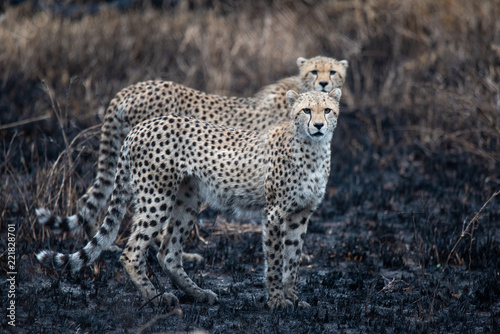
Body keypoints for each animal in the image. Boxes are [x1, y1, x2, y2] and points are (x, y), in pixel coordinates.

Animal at [37, 89, 344, 310]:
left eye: (327, 110)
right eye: (306, 110)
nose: (318, 125)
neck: (313, 149)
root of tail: (141, 126)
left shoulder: (301, 214)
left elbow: (293, 259)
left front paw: (292, 298)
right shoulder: (275, 212)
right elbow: (276, 258)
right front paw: (277, 301)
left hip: (187, 199)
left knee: (168, 253)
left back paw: (198, 293)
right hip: (157, 197)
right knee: (132, 251)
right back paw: (156, 298)